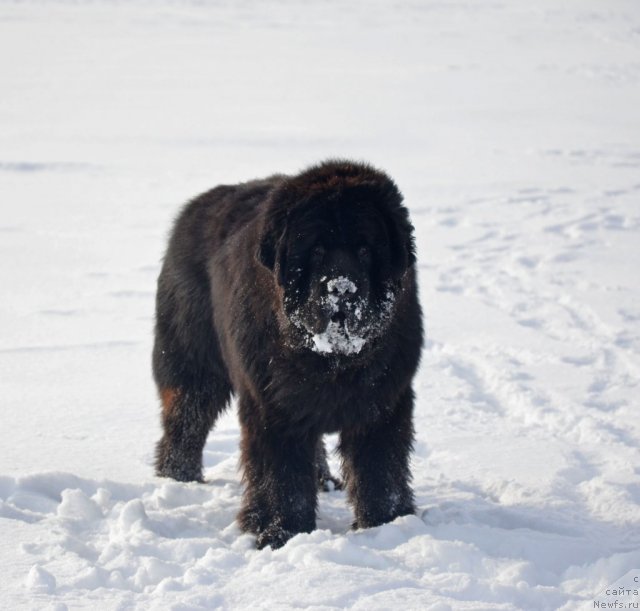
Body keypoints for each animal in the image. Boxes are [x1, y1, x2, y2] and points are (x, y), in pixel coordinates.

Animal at [154, 159, 424, 548]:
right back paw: (179, 477)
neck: (332, 360)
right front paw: (281, 530)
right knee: (187, 415)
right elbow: (281, 475)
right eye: (316, 251)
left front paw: (386, 523)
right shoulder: (272, 407)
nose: (341, 290)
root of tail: (195, 206)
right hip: (194, 360)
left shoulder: (383, 402)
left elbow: (379, 469)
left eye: (364, 250)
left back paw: (323, 481)